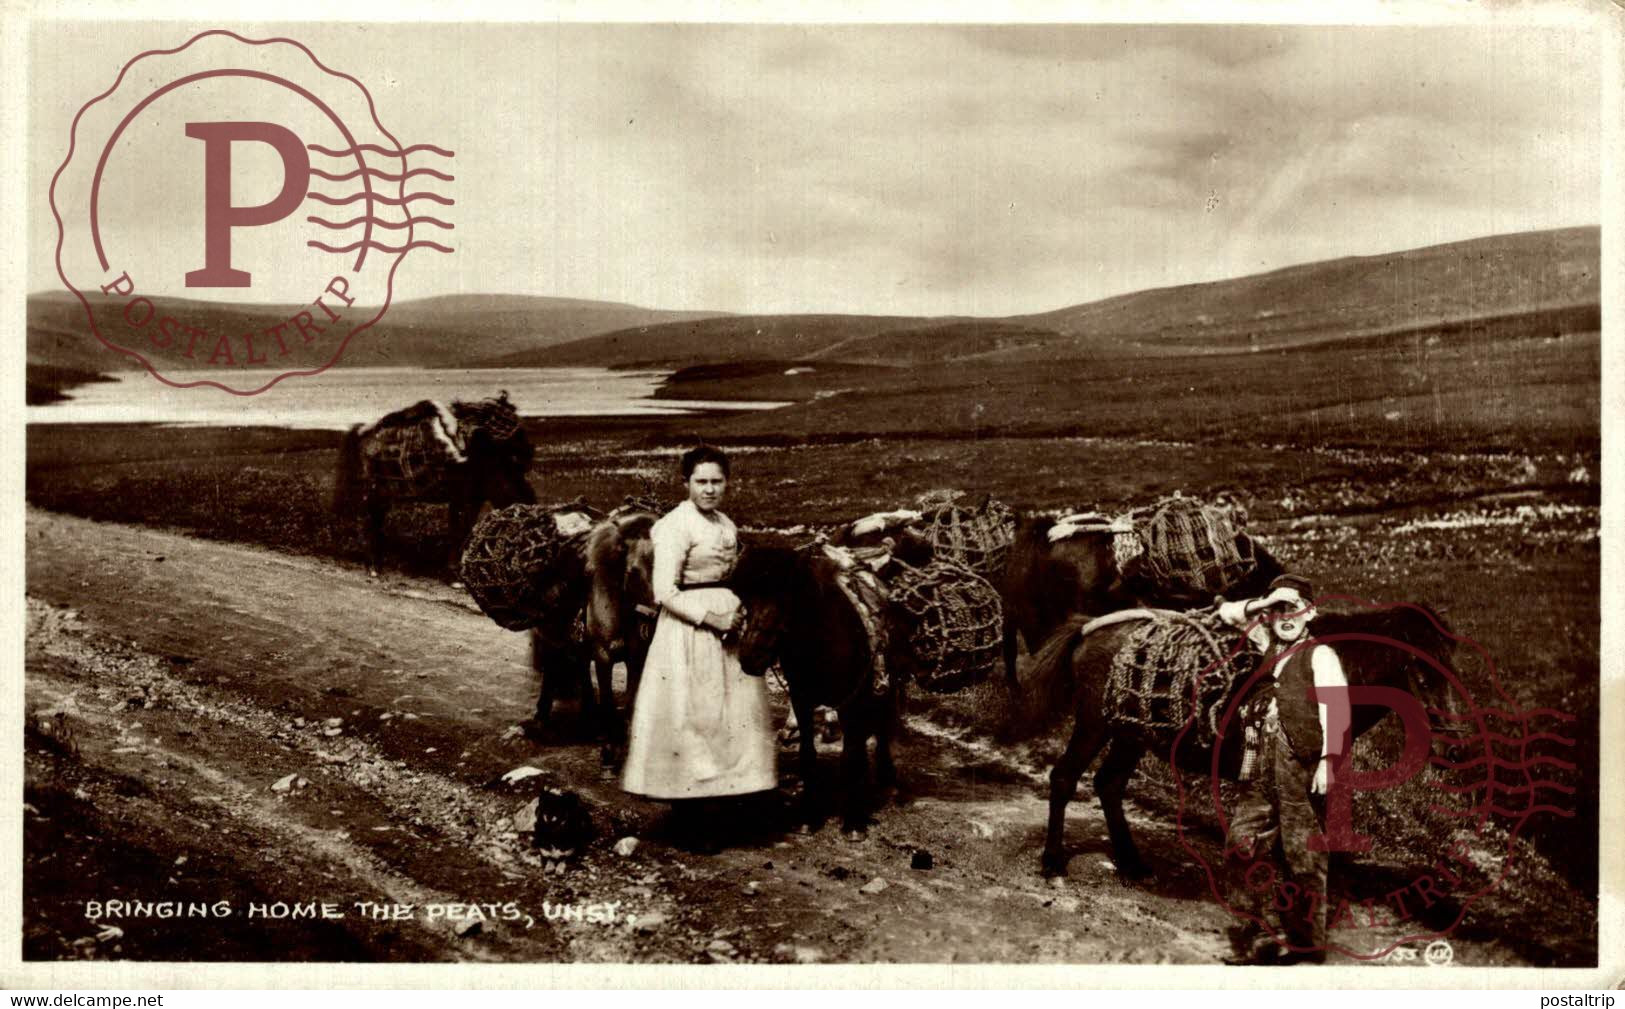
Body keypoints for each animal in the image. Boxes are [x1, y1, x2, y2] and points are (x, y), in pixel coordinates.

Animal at [336, 398, 539, 578]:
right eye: (512, 461)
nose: (529, 504)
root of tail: (359, 434)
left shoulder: (471, 499)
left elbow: (462, 530)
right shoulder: (463, 498)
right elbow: (460, 531)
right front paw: (456, 576)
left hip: (382, 497)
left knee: (375, 523)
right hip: (371, 494)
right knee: (367, 523)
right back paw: (373, 568)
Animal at [731, 542, 910, 831]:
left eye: (785, 600)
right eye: (747, 599)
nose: (750, 658)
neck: (822, 644)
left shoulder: (852, 702)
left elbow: (851, 756)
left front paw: (854, 823)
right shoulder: (801, 700)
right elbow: (808, 755)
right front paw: (808, 817)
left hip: (887, 687)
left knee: (882, 729)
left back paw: (887, 781)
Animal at [1014, 601, 1462, 877]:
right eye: (1422, 673)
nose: (1453, 747)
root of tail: (1088, 629)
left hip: (1129, 735)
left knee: (1108, 784)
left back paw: (1132, 863)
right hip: (1094, 726)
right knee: (1064, 779)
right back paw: (1053, 861)